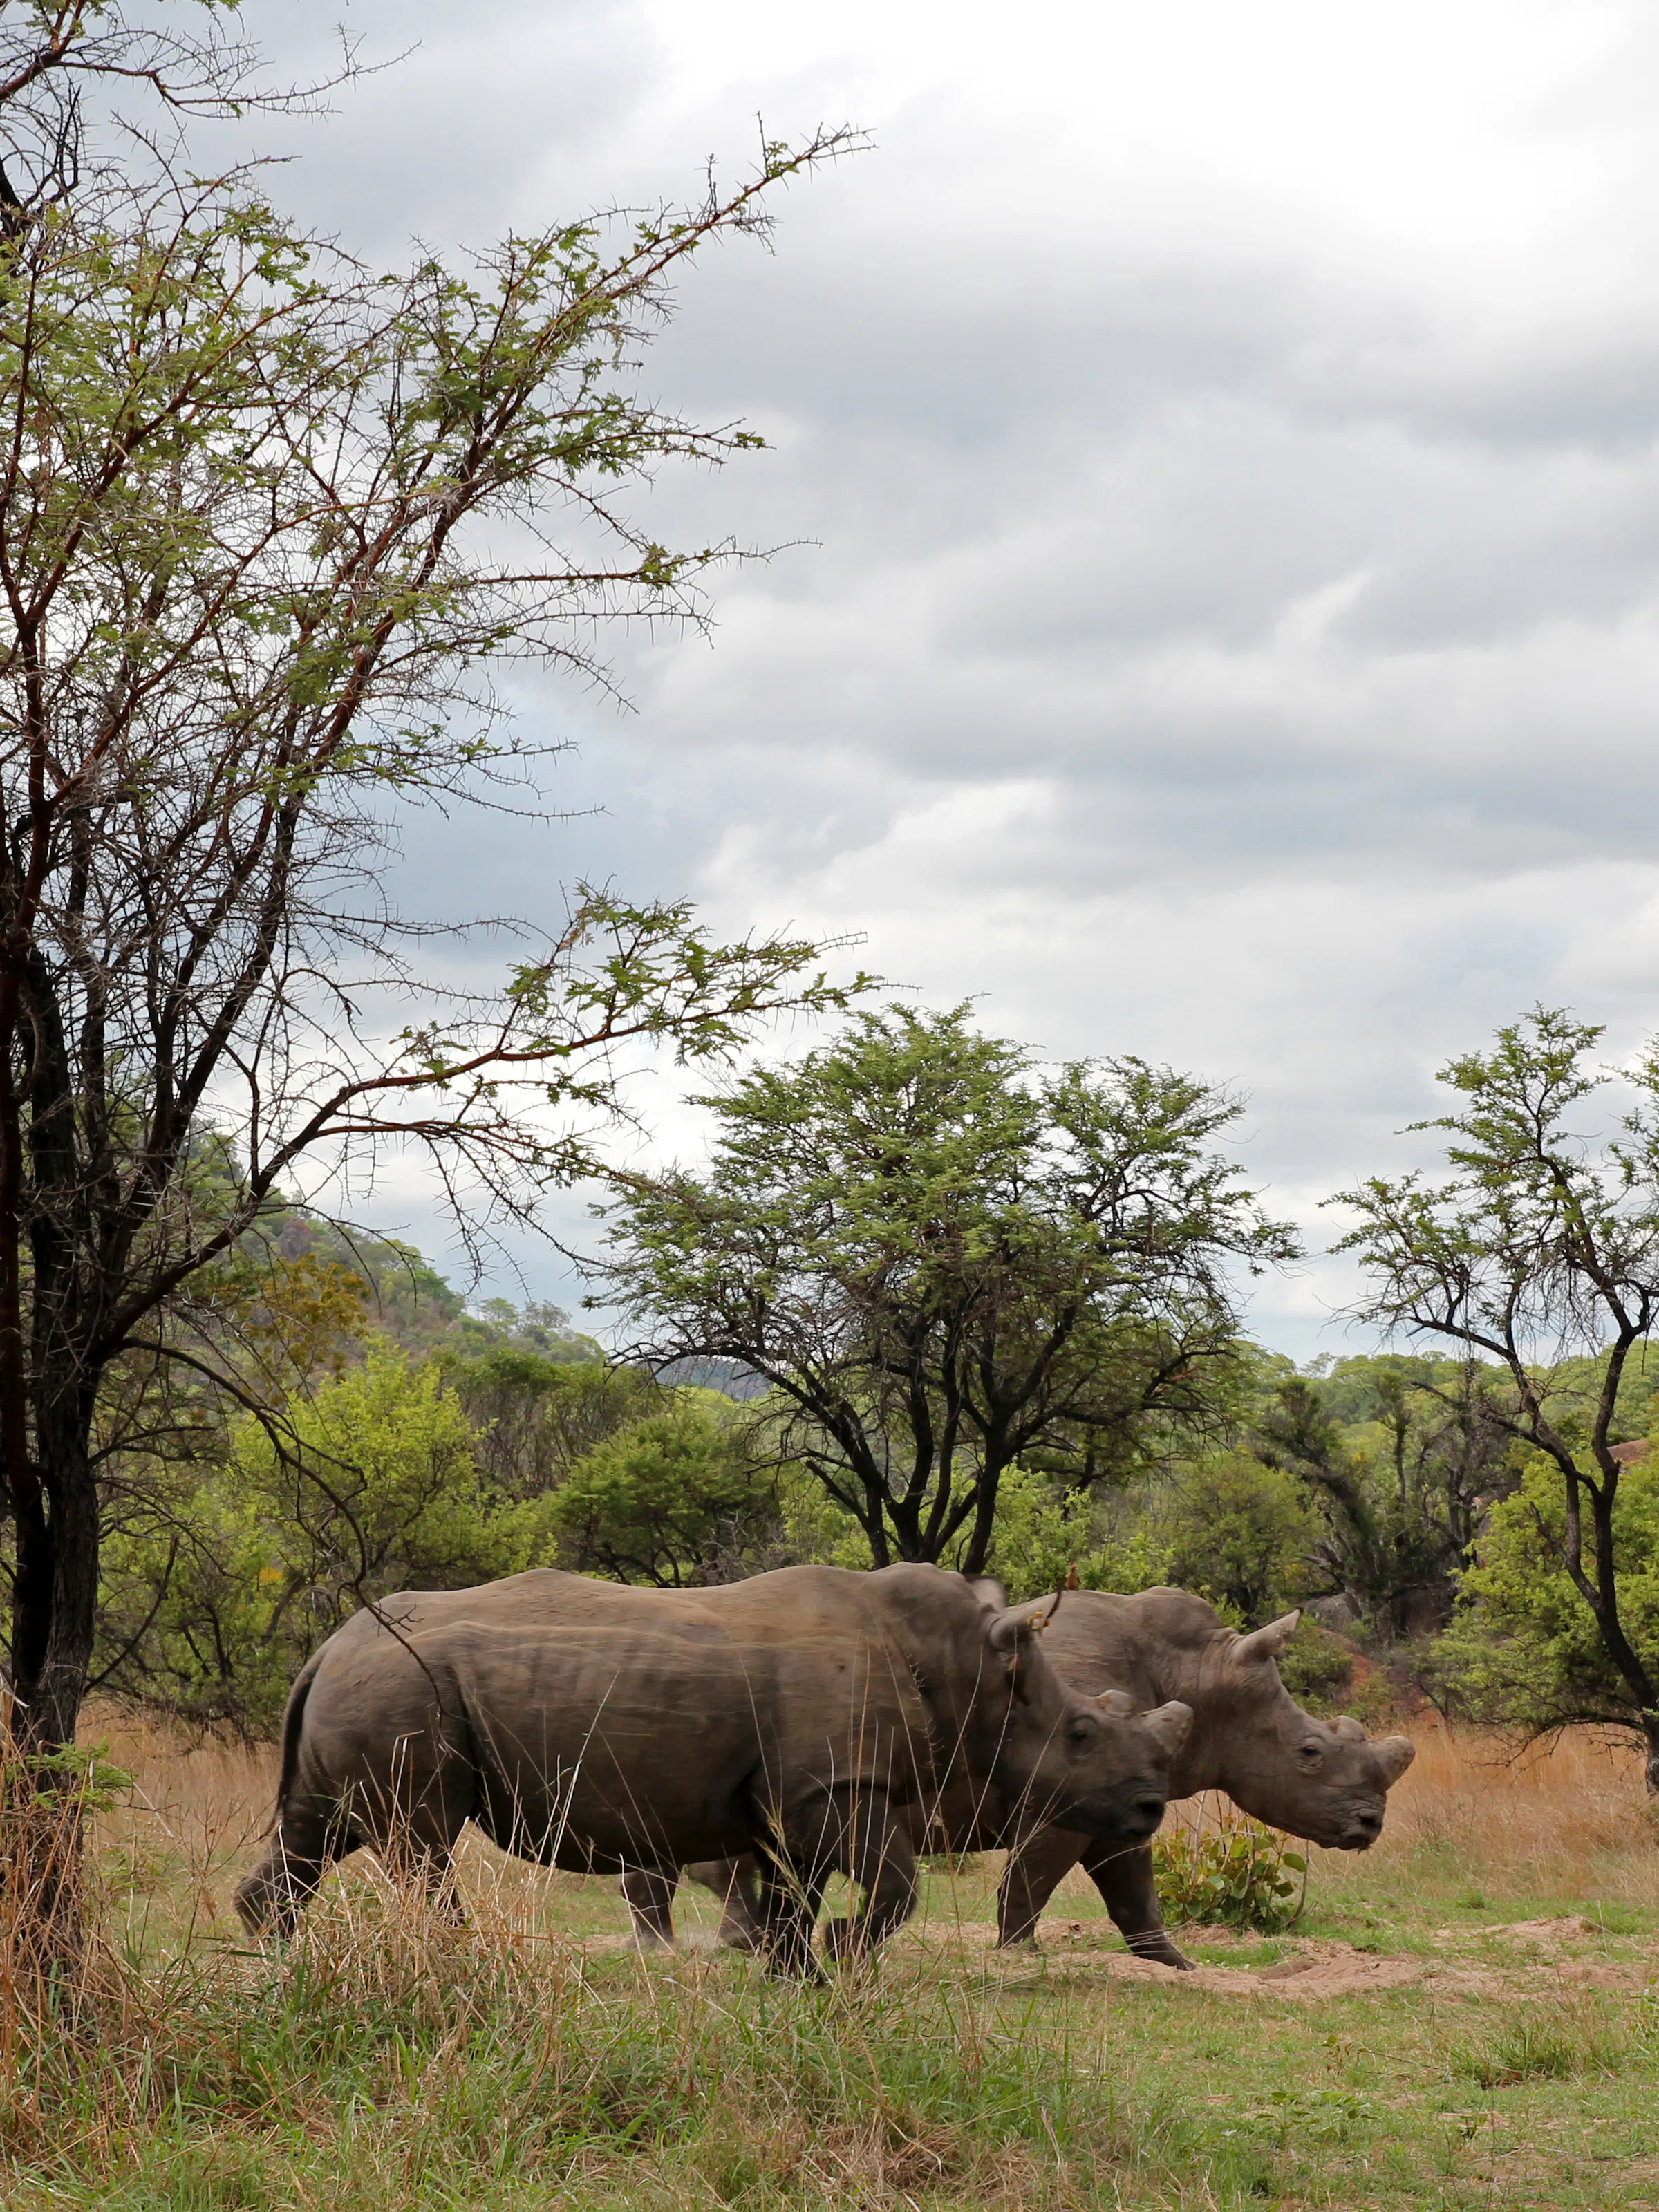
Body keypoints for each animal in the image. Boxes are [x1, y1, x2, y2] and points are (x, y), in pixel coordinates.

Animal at [234, 1564, 1193, 1970]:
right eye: (1080, 1732)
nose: (1149, 1807)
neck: (963, 1665)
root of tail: (324, 1648)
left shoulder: (800, 1791)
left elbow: (792, 1890)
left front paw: (795, 1969)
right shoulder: (836, 1784)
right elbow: (893, 1885)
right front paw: (840, 1957)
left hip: (367, 1688)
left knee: (318, 1832)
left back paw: (270, 1960)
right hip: (401, 1689)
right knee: (419, 1841)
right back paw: (451, 1958)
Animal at [672, 1589, 1415, 1968]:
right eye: (1310, 1751)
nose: (1372, 1823)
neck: (1199, 1671)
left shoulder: (1120, 1796)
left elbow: (1133, 1889)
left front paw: (1173, 1964)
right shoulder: (1069, 1792)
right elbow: (1032, 1879)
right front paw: (1019, 1955)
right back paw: (745, 1943)